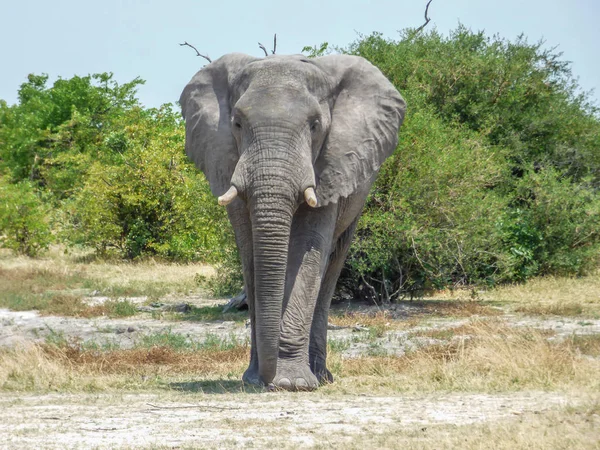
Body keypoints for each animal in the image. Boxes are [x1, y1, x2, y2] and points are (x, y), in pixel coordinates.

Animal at [180, 53, 406, 390]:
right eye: (236, 123)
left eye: (315, 126)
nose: (266, 379)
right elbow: (250, 251)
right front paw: (256, 380)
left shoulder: (329, 165)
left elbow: (307, 248)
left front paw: (291, 383)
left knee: (332, 266)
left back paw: (321, 377)